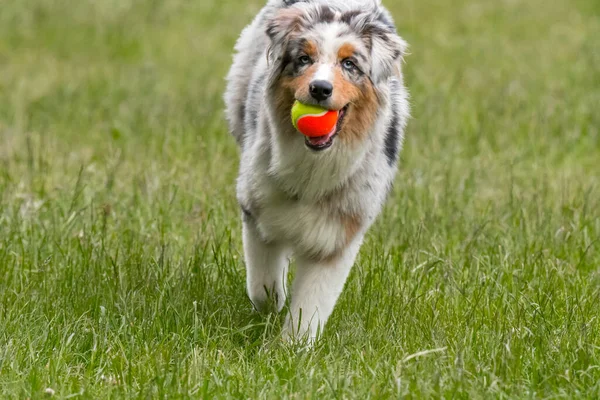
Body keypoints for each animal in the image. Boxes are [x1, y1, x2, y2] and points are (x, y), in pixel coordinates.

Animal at [223, 0, 410, 342]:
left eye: (349, 64)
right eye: (304, 59)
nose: (320, 89)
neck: (315, 165)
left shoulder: (340, 230)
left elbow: (311, 304)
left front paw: (293, 347)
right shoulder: (257, 205)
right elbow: (264, 285)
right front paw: (272, 306)